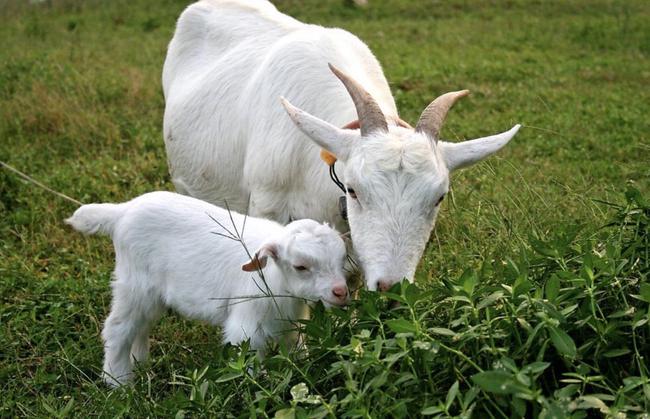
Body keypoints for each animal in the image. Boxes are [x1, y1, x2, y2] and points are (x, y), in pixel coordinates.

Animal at [66, 192, 350, 388]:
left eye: (341, 258)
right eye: (300, 266)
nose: (340, 291)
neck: (277, 281)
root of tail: (122, 212)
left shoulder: (290, 324)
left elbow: (295, 350)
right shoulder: (246, 327)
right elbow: (248, 359)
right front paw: (255, 386)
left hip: (150, 296)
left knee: (139, 327)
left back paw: (139, 364)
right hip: (135, 284)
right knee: (118, 328)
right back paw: (119, 382)